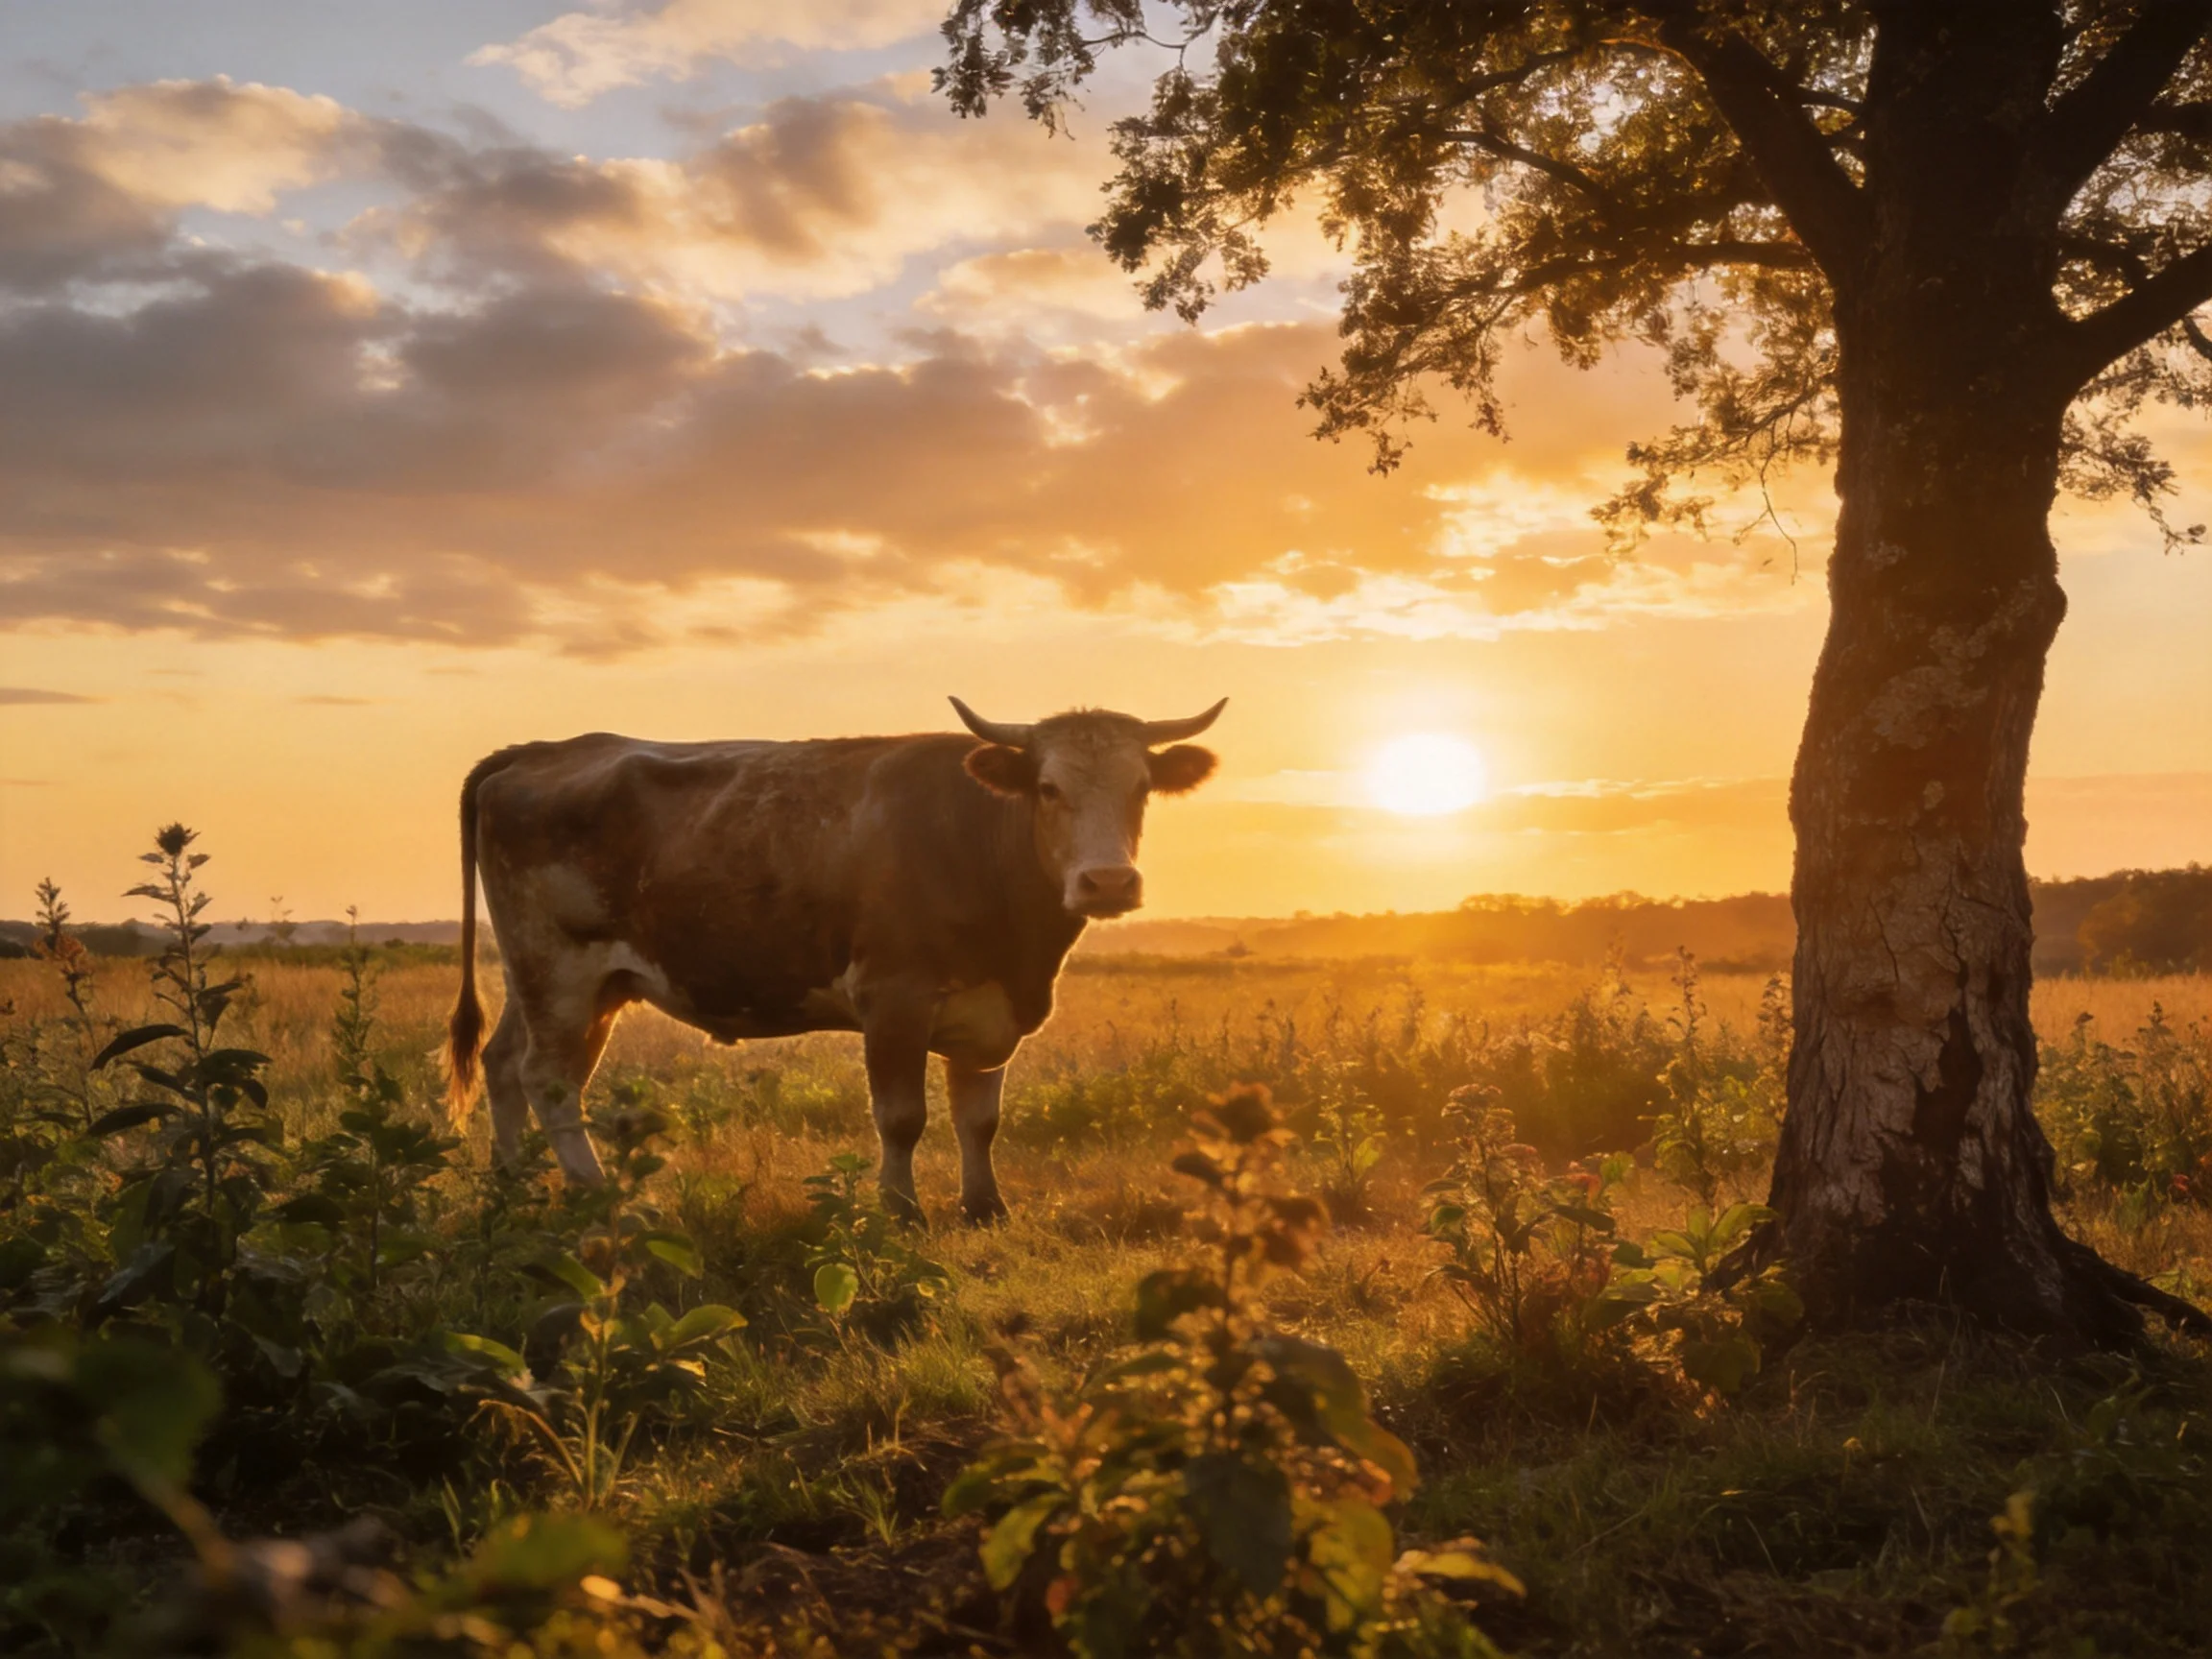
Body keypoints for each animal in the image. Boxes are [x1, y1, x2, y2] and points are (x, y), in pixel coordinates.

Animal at [444, 696, 1226, 1220]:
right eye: (1048, 787)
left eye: (1141, 788)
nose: (1107, 882)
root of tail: (537, 750)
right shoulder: (894, 997)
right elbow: (902, 1117)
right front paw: (900, 1211)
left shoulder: (990, 1010)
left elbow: (980, 1119)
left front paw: (985, 1207)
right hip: (558, 966)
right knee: (547, 1078)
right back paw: (599, 1195)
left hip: (560, 978)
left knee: (504, 1063)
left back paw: (510, 1189)